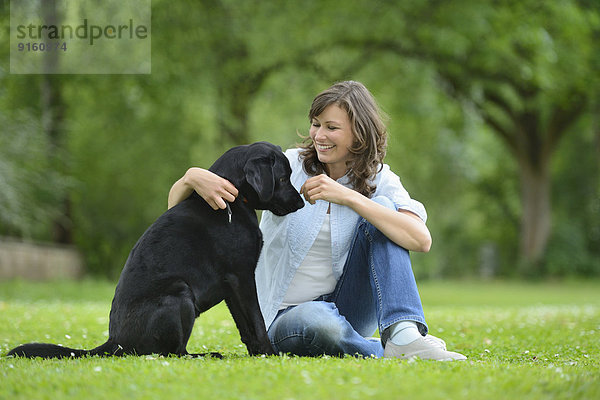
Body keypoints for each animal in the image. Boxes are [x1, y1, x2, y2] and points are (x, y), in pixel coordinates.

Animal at [10, 141, 304, 360]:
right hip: (179, 294)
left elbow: (246, 326)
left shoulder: (232, 286)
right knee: (173, 352)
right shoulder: (241, 276)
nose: (301, 203)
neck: (233, 200)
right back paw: (206, 354)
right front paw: (269, 353)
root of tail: (114, 342)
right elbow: (257, 320)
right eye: (282, 177)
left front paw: (257, 354)